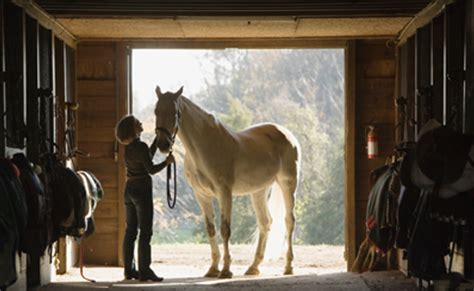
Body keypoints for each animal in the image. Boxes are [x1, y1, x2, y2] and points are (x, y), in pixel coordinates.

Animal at [152, 85, 300, 280]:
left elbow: (225, 229)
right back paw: (253, 267)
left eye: (175, 113)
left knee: (289, 221)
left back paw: (289, 267)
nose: (163, 145)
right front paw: (213, 269)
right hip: (259, 191)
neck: (204, 147)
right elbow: (211, 229)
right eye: (156, 111)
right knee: (265, 222)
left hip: (287, 184)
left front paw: (226, 270)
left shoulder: (225, 192)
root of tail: (287, 134)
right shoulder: (202, 195)